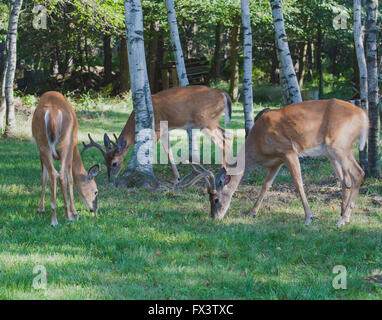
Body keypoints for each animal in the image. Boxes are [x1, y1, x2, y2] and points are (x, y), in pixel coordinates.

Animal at [32, 91, 100, 228]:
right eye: (96, 191)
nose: (94, 209)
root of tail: (52, 111)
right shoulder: (71, 149)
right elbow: (71, 178)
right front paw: (74, 212)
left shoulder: (40, 152)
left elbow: (44, 177)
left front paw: (40, 208)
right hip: (65, 144)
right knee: (62, 175)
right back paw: (68, 216)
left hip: (43, 144)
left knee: (53, 174)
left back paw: (54, 220)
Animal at [80, 85, 233, 185]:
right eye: (104, 162)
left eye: (114, 163)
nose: (111, 178)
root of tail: (223, 93)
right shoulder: (165, 129)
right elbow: (169, 152)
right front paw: (176, 178)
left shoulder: (158, 128)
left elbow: (149, 147)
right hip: (212, 122)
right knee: (229, 134)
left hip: (206, 121)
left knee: (222, 141)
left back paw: (222, 173)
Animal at [184, 99, 368, 226]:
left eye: (215, 199)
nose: (214, 217)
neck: (258, 144)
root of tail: (363, 116)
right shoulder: (276, 161)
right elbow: (265, 185)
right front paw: (252, 213)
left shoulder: (288, 150)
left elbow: (298, 183)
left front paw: (309, 217)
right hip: (331, 151)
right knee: (346, 180)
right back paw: (343, 216)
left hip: (340, 144)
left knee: (358, 173)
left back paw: (343, 220)